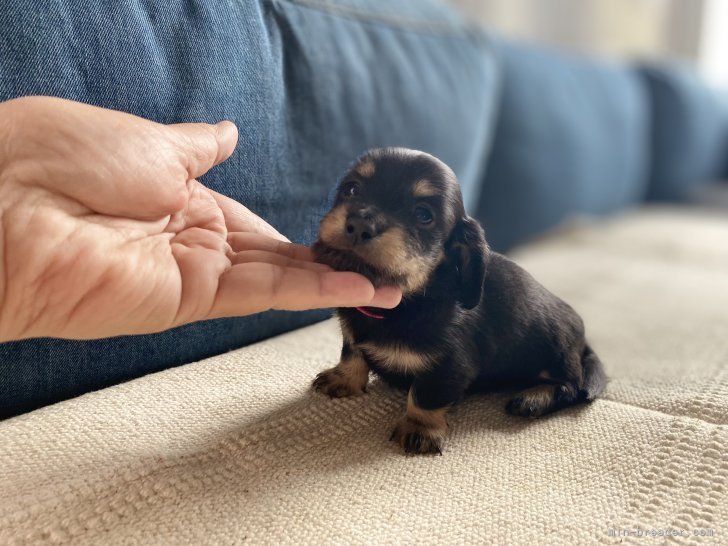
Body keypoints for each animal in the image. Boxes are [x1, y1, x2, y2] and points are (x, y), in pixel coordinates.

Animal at [310, 147, 604, 452]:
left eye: (423, 215)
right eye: (352, 189)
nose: (359, 225)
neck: (404, 304)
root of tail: (583, 340)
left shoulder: (448, 366)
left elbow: (424, 395)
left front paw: (419, 428)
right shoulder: (352, 335)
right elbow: (352, 354)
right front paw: (343, 379)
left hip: (556, 350)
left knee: (571, 386)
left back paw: (533, 398)